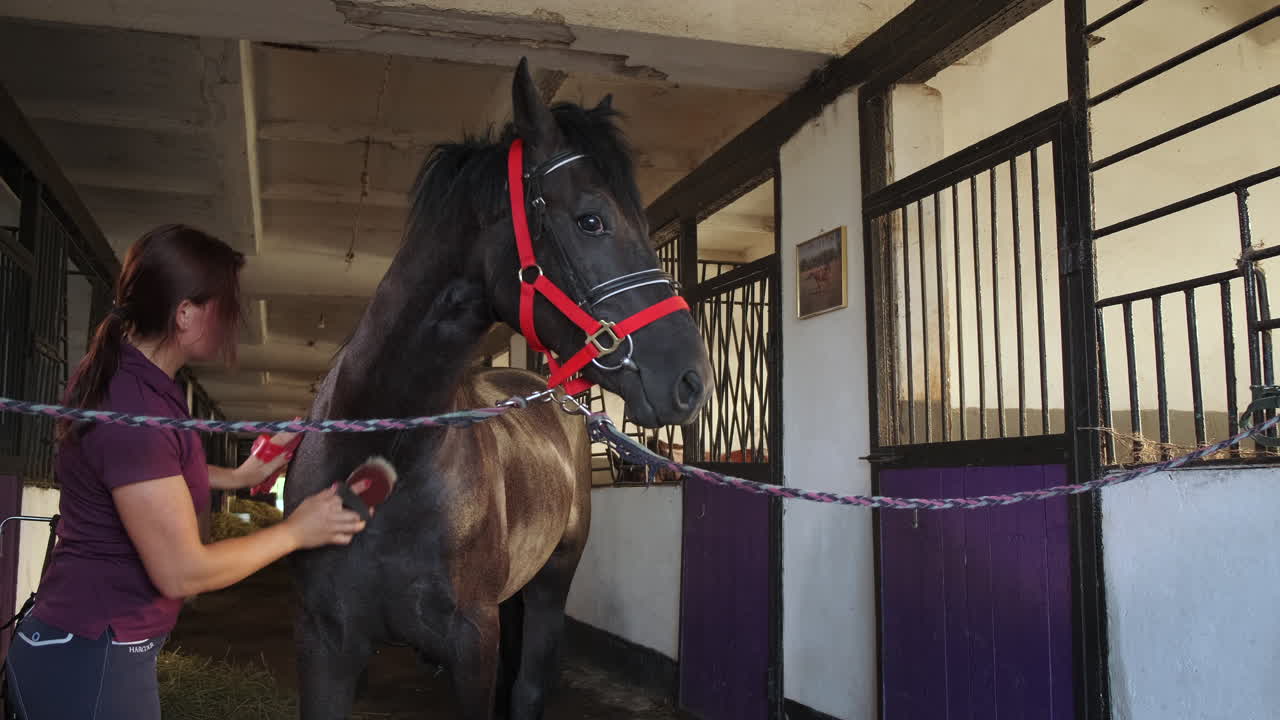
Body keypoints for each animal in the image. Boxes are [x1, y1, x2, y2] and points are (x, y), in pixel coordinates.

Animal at [282, 58, 713, 720]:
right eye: (591, 219)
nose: (692, 380)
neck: (382, 453)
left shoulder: (472, 644)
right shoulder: (323, 644)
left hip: (550, 587)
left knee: (529, 686)